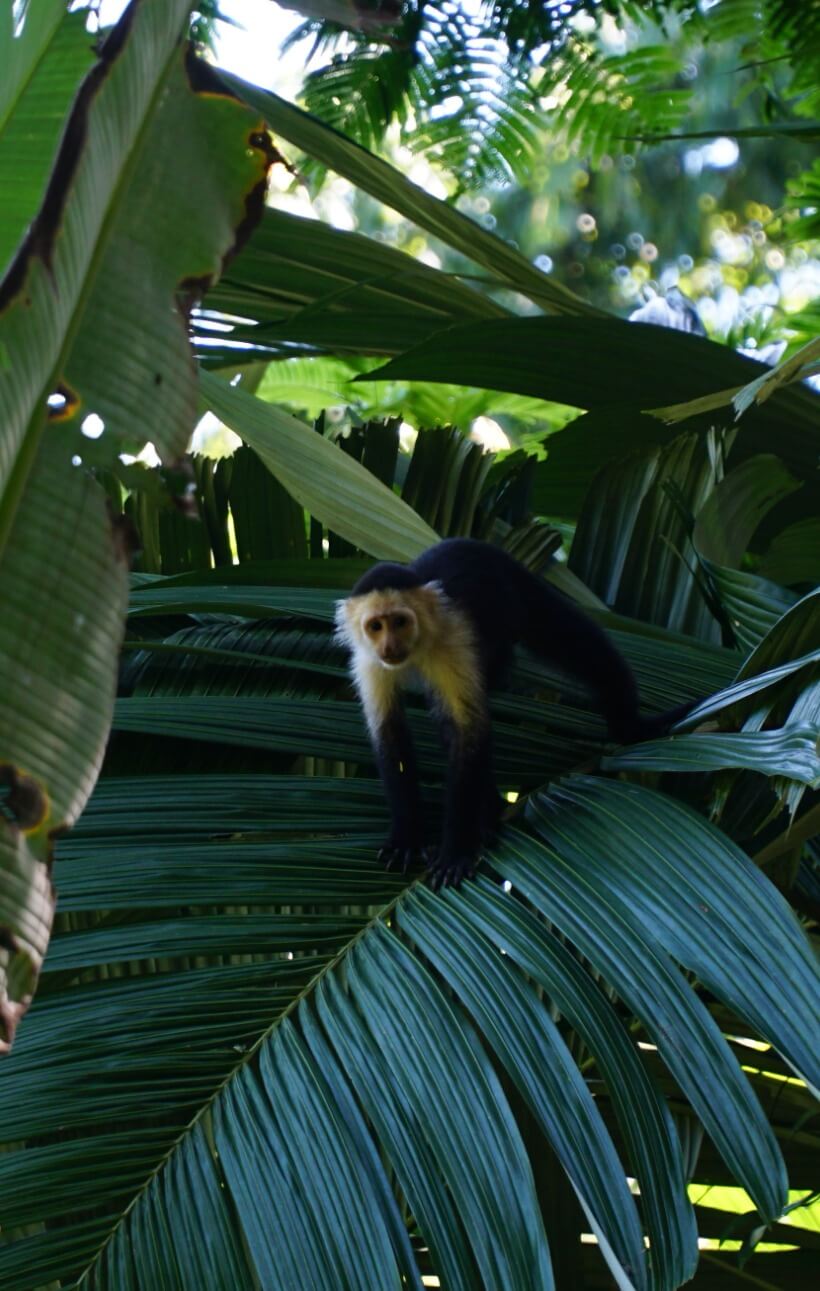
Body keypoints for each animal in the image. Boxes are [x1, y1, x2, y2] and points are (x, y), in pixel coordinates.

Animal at [335, 534, 692, 888]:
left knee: (582, 646)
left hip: (513, 595)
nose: (390, 646)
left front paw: (456, 849)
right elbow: (390, 737)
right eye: (376, 626)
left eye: (400, 622)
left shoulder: (453, 640)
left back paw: (629, 728)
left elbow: (468, 731)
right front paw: (407, 837)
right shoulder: (368, 661)